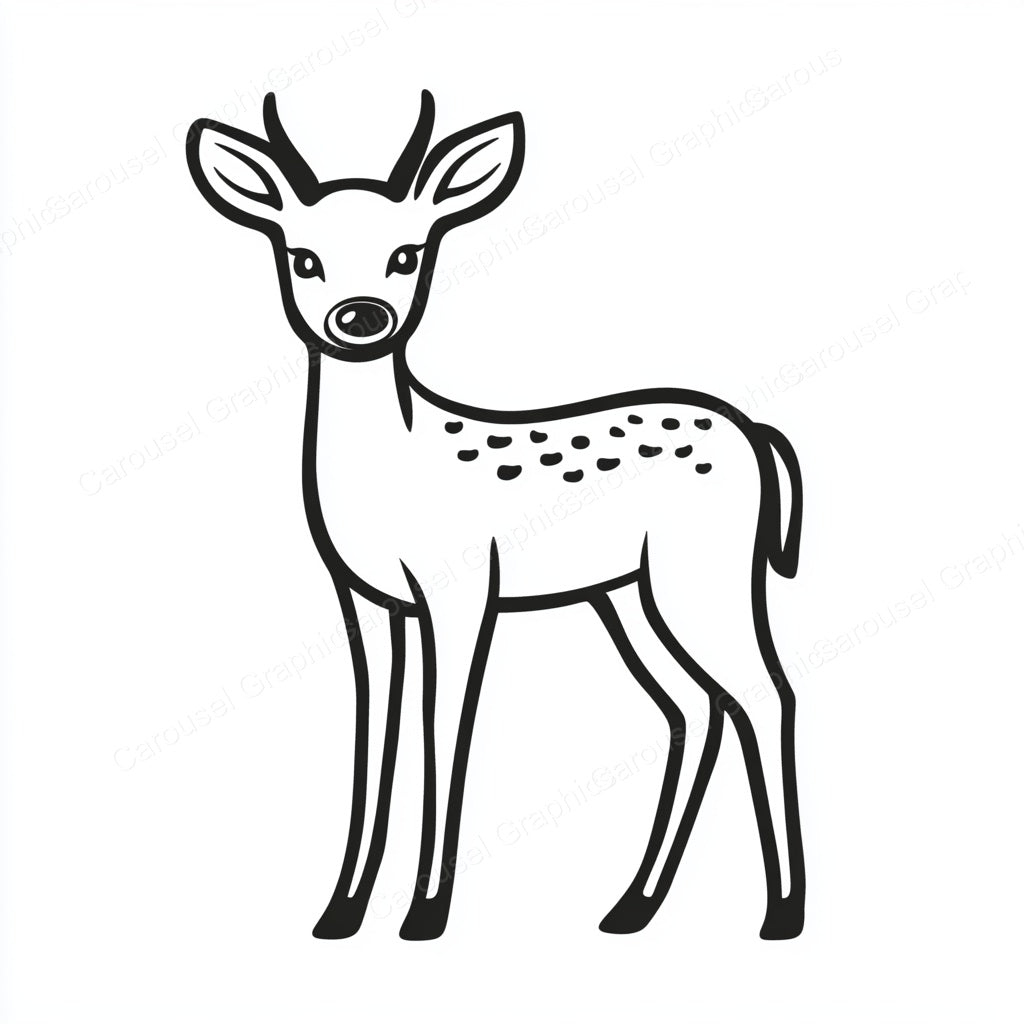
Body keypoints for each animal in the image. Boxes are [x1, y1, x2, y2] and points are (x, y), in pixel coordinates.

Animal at [186, 90, 806, 942]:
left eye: (408, 254)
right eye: (303, 257)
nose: (360, 316)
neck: (391, 469)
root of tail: (757, 435)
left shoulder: (464, 585)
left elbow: (444, 729)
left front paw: (425, 912)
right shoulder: (365, 598)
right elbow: (374, 731)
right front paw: (340, 911)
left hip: (704, 570)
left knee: (764, 694)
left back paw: (780, 912)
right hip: (628, 592)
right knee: (693, 708)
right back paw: (631, 906)